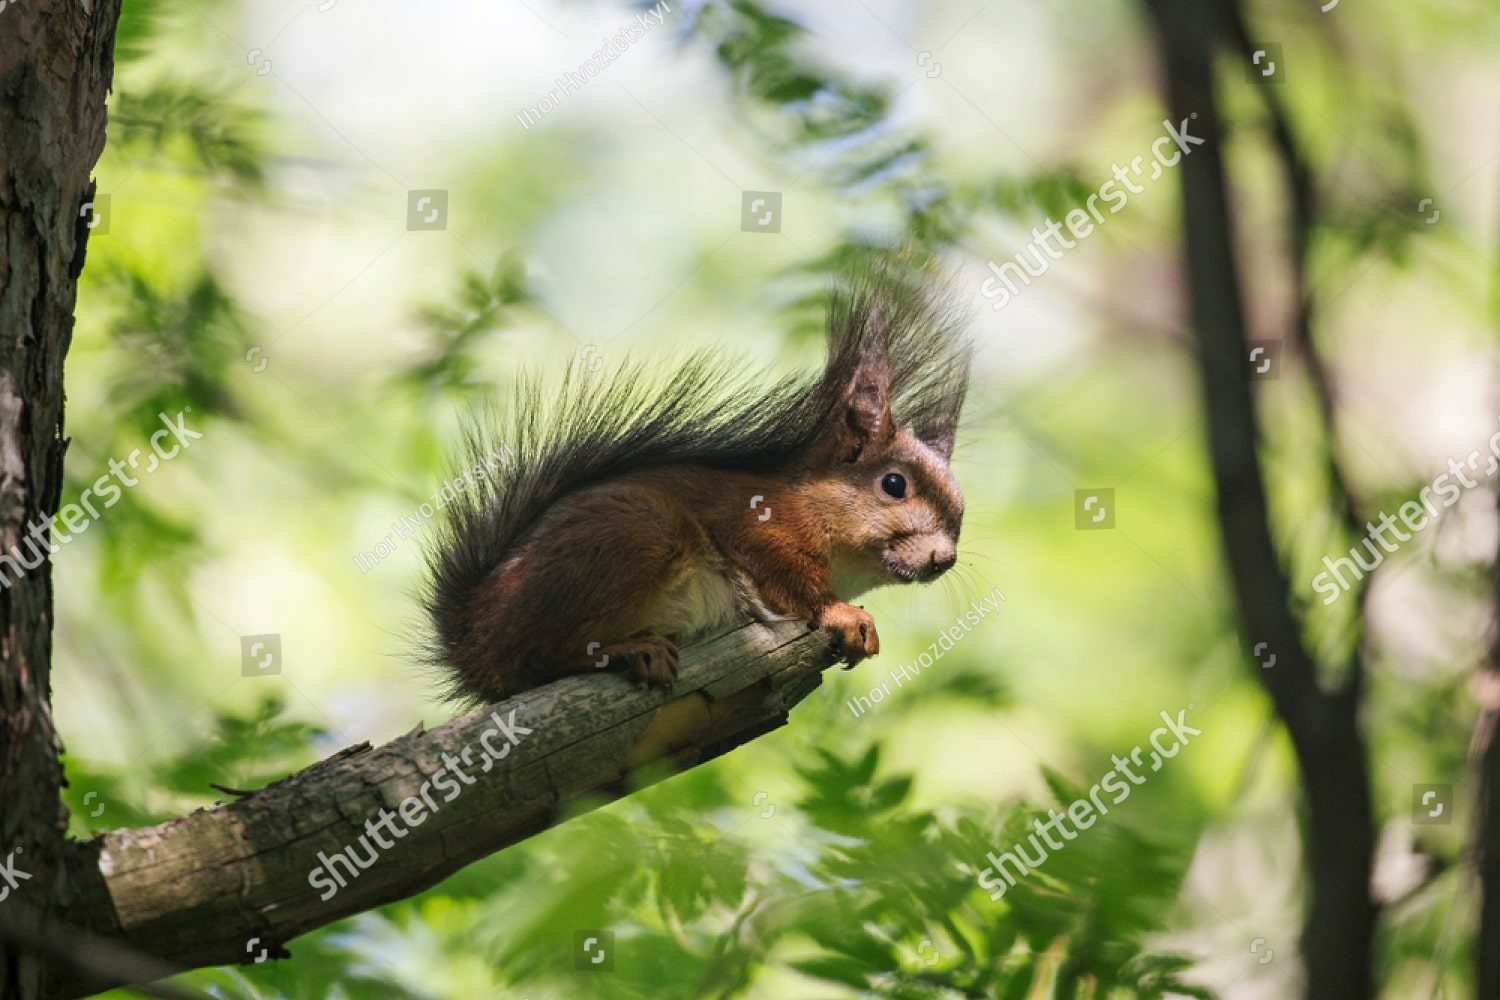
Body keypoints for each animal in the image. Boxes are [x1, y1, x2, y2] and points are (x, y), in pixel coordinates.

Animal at [422, 262, 972, 704]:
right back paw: (630, 648)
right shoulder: (756, 523)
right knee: (537, 656)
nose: (944, 559)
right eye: (894, 484)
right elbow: (789, 579)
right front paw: (841, 614)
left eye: (961, 510)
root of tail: (474, 640)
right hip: (633, 535)